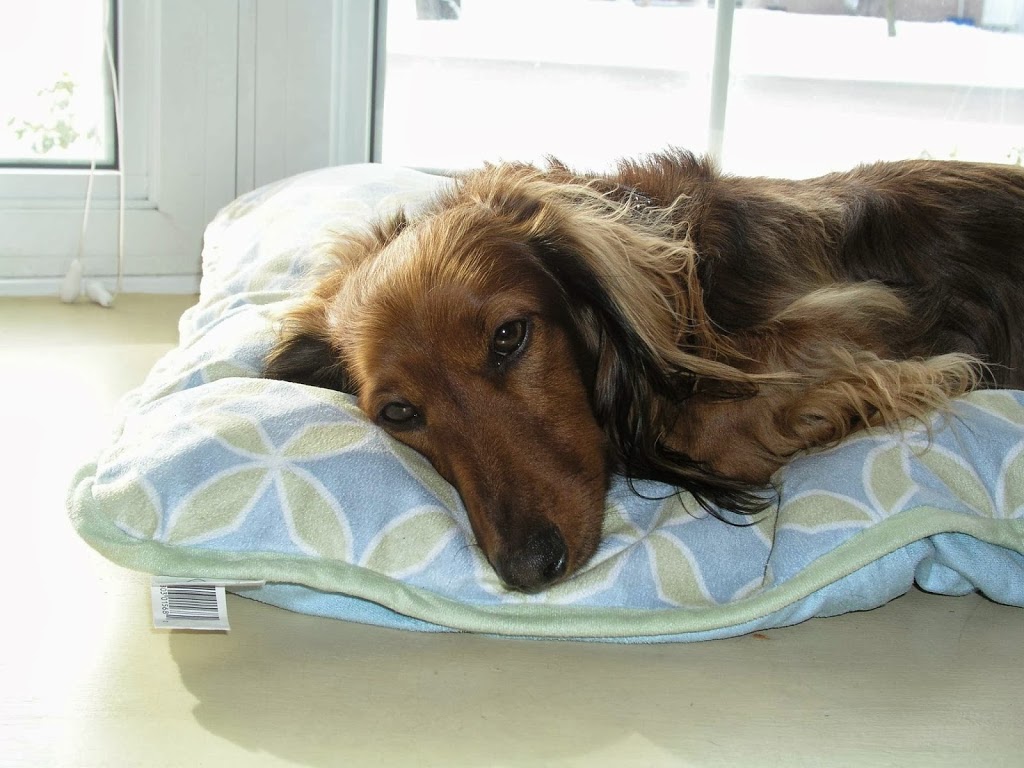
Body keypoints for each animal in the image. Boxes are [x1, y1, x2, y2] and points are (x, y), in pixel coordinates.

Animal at [264, 148, 1024, 592]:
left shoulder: (865, 309)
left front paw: (854, 396)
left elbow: (696, 424)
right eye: (399, 412)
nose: (530, 570)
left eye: (509, 337)